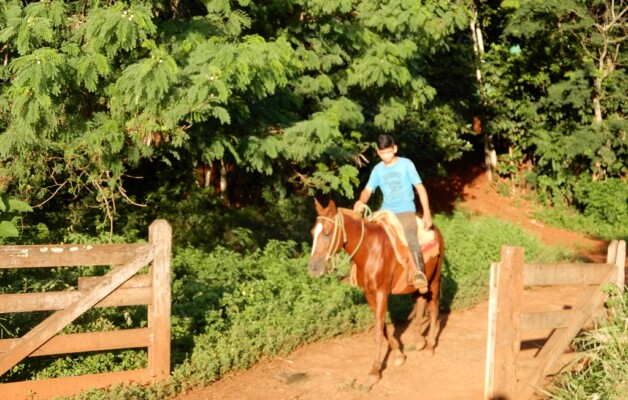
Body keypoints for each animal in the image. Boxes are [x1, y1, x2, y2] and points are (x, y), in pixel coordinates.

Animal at [306, 198, 444, 386]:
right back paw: (418, 340)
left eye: (327, 233)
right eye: (313, 232)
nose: (313, 268)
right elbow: (383, 327)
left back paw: (429, 345)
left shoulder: (381, 293)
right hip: (420, 284)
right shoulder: (370, 294)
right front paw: (399, 355)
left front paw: (375, 371)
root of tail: (435, 229)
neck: (369, 250)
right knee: (421, 301)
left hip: (434, 279)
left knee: (434, 307)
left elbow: (378, 332)